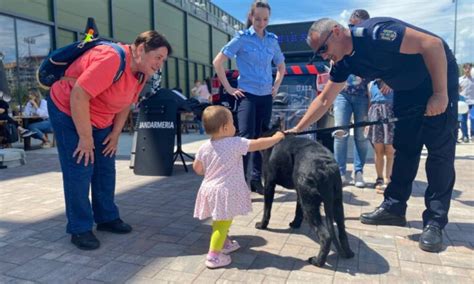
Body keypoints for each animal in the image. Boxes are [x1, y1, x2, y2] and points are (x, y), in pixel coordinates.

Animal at [256, 133, 356, 266]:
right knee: (342, 231)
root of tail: (326, 167)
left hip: (310, 206)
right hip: (336, 204)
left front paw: (262, 225)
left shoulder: (269, 184)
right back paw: (349, 253)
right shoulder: (300, 192)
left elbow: (267, 210)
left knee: (326, 236)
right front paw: (295, 224)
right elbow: (298, 211)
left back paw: (318, 261)